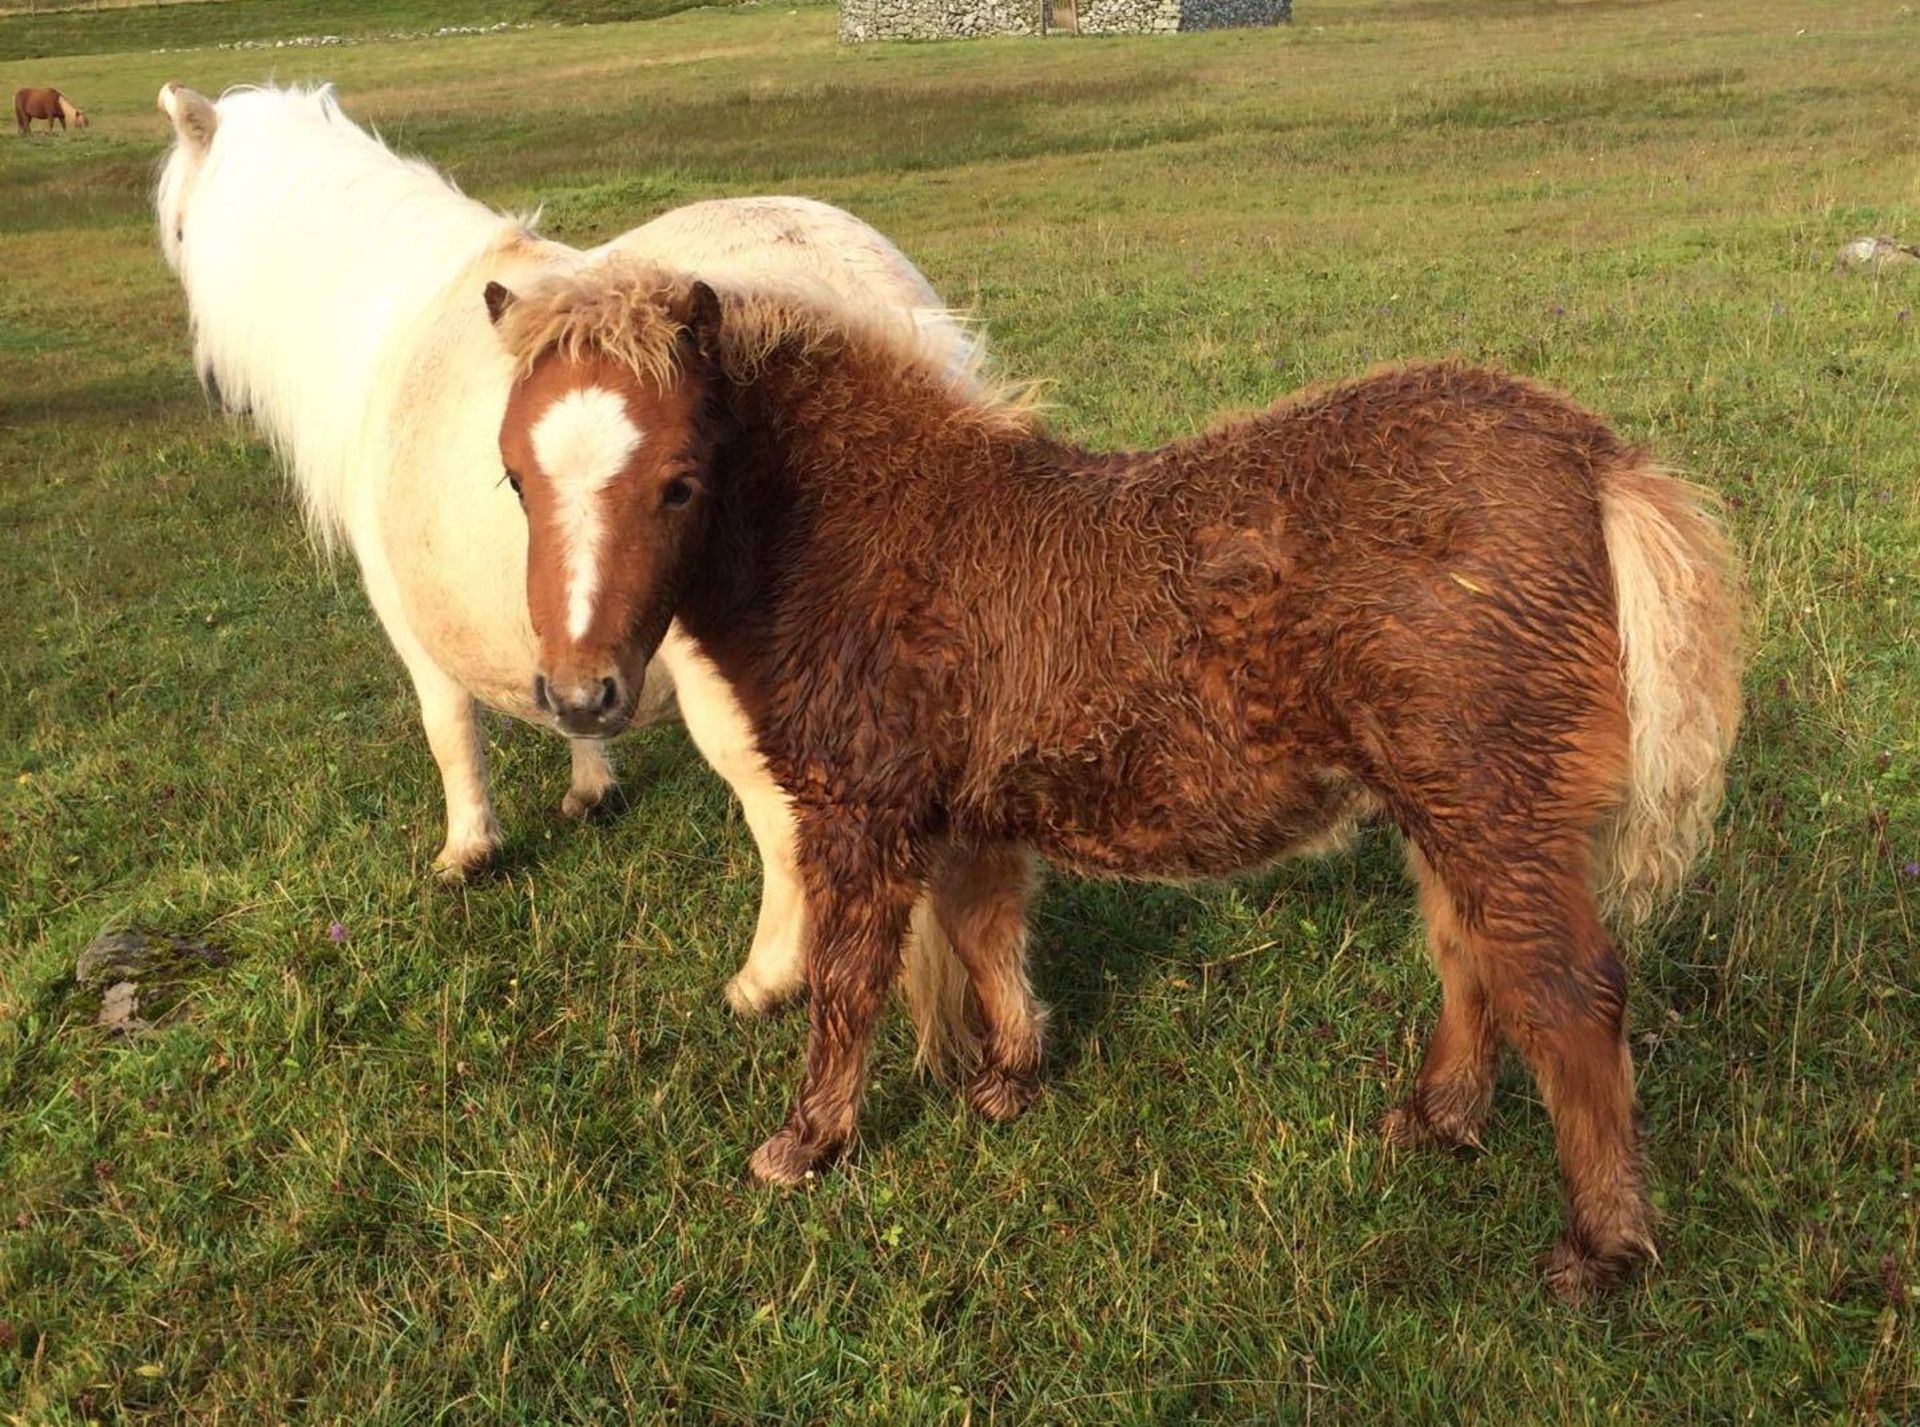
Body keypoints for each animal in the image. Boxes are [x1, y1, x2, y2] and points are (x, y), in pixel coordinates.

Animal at [153, 81, 975, 1060]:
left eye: (177, 230)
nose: (210, 384)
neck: (392, 320)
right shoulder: (568, 628)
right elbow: (571, 694)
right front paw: (591, 786)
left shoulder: (407, 616)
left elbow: (448, 730)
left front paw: (468, 852)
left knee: (787, 832)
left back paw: (764, 981)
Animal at [483, 263, 1758, 1298]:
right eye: (512, 479)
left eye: (680, 481)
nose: (581, 694)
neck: (863, 529)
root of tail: (1597, 463)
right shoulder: (967, 807)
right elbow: (987, 930)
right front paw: (1008, 1079)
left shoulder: (860, 808)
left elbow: (848, 977)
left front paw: (807, 1142)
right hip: (1447, 803)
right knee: (1468, 950)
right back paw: (1436, 1119)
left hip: (1499, 800)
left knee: (1566, 989)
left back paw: (1600, 1244)